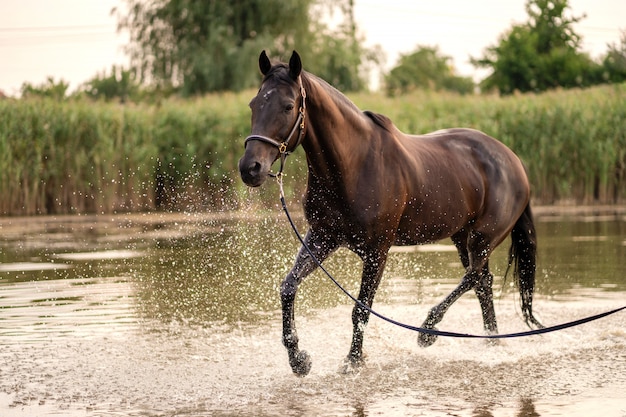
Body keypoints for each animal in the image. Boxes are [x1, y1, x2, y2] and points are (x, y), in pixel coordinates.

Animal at [236, 50, 540, 376]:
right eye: (254, 104)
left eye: (288, 106)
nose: (250, 168)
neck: (353, 165)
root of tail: (514, 162)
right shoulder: (322, 238)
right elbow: (288, 286)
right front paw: (298, 359)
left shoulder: (377, 251)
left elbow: (360, 309)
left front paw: (353, 361)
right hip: (463, 236)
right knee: (483, 283)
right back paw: (491, 343)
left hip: (483, 237)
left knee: (473, 277)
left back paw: (428, 331)